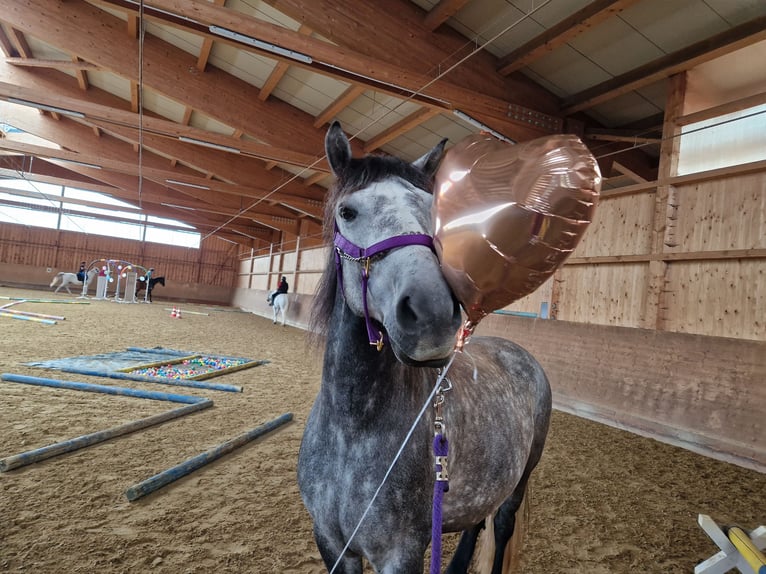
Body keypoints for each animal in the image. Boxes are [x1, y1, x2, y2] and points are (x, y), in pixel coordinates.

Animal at [297, 122, 552, 574]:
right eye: (347, 212)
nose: (431, 312)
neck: (352, 431)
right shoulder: (330, 543)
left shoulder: (401, 553)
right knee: (477, 522)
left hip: (521, 479)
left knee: (501, 524)